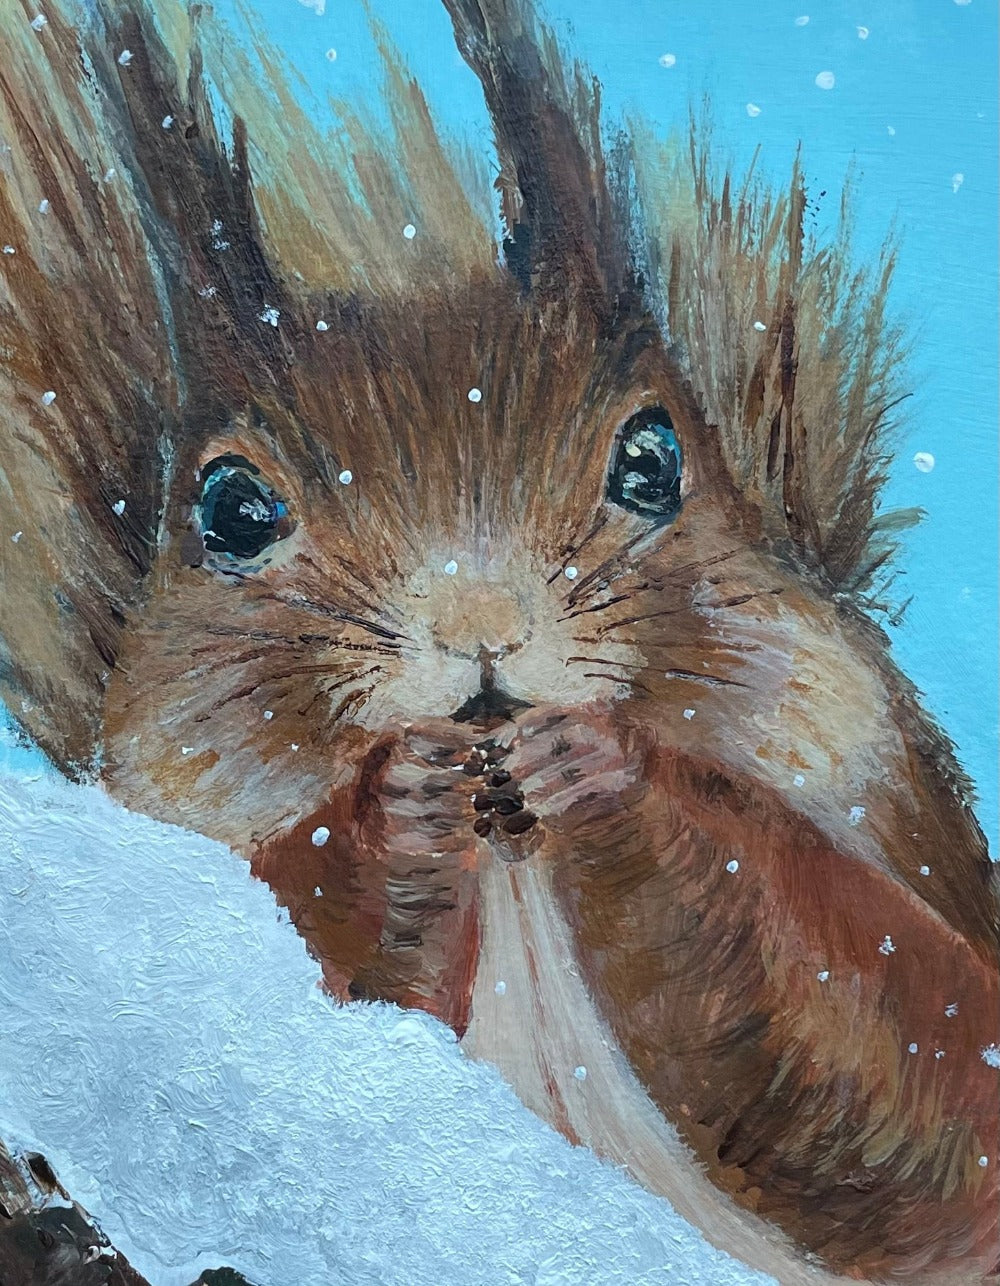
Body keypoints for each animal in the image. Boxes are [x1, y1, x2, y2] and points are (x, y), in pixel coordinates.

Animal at [0, 1, 996, 1282]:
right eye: (229, 510)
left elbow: (917, 1071)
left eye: (653, 457)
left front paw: (610, 777)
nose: (480, 631)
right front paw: (393, 802)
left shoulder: (891, 823)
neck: (511, 852)